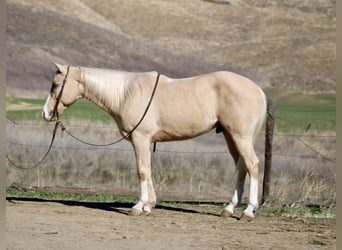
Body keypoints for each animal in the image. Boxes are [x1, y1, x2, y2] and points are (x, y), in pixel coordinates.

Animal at [42, 63, 268, 220]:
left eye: (55, 85)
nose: (45, 113)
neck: (127, 93)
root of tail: (258, 89)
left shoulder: (140, 138)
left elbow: (141, 170)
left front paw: (137, 207)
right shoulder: (145, 141)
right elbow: (148, 170)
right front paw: (149, 205)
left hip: (240, 136)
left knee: (252, 165)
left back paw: (248, 211)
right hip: (231, 136)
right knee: (241, 166)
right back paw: (229, 209)